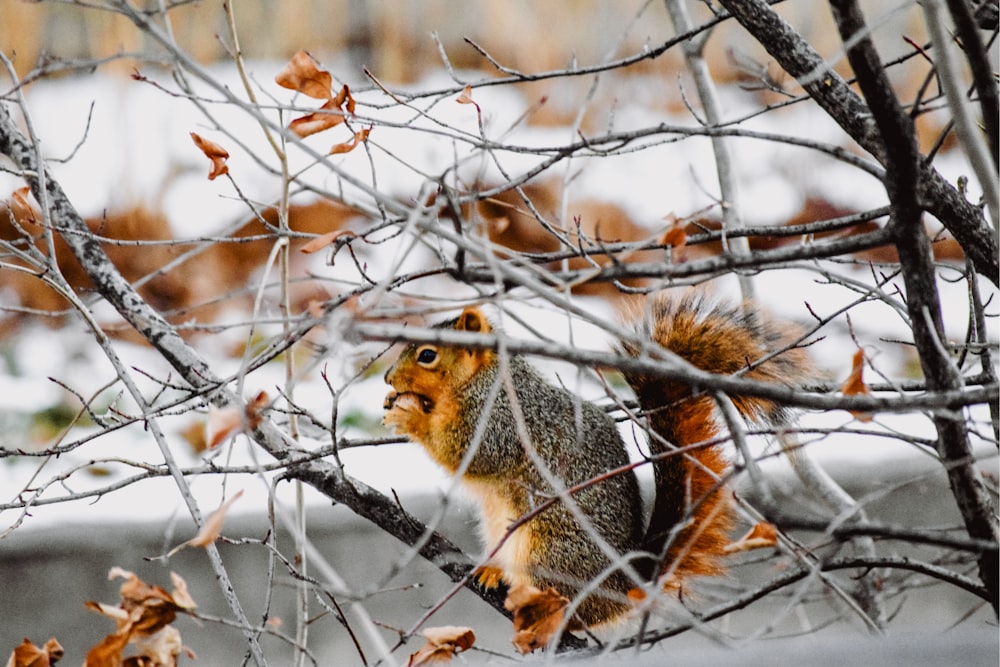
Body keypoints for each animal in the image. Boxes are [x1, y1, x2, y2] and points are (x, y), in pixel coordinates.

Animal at [382, 294, 812, 628]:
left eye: (428, 355)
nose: (386, 378)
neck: (487, 378)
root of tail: (625, 585)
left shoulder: (501, 418)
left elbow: (470, 452)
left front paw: (410, 416)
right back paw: (493, 571)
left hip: (551, 552)